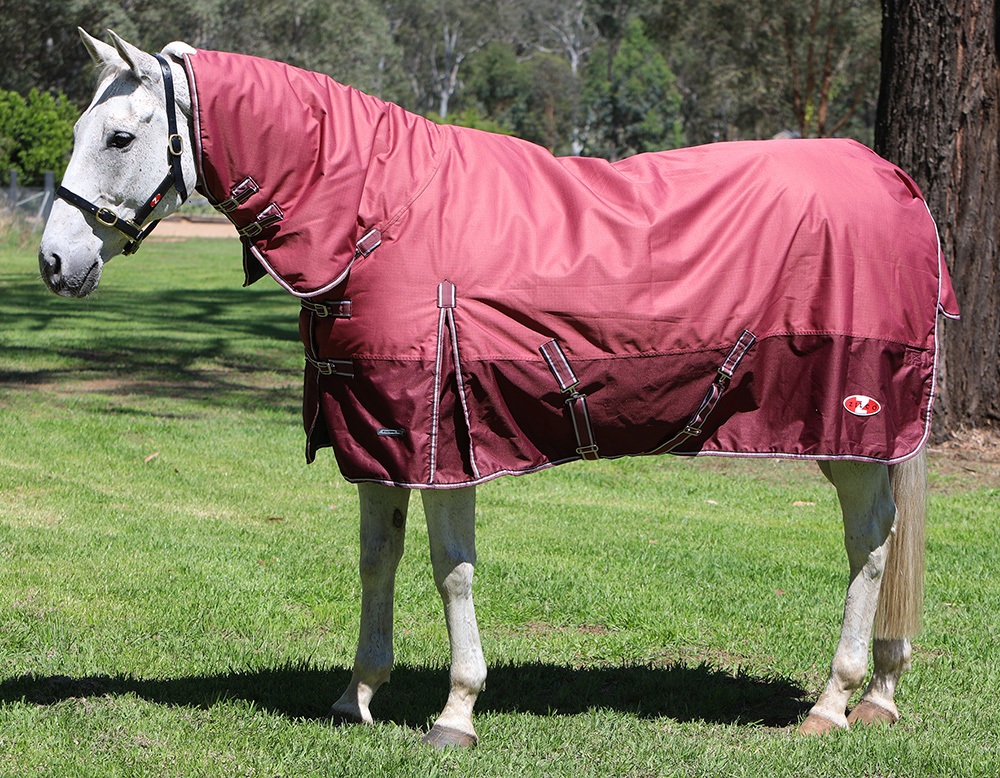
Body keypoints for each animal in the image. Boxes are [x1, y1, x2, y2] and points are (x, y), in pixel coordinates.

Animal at [38, 30, 959, 748]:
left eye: (118, 137)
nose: (54, 261)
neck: (379, 214)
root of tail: (894, 181)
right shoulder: (379, 435)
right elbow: (376, 560)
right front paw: (357, 695)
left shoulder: (446, 440)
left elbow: (451, 570)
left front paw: (456, 712)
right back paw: (879, 695)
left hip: (850, 425)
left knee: (870, 544)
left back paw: (833, 703)